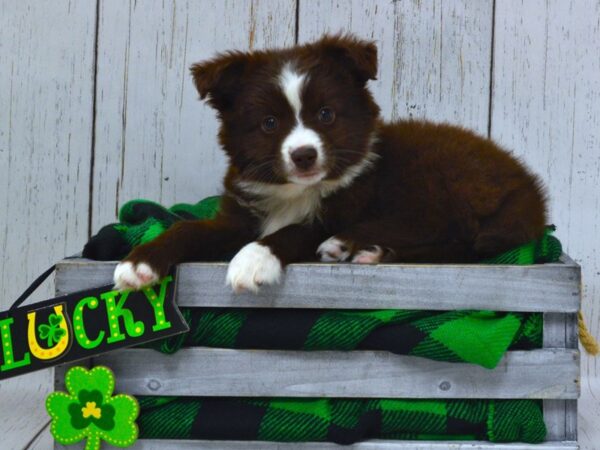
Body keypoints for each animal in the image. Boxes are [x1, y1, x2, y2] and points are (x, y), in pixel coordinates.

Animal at [113, 35, 548, 294]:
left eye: (326, 114)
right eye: (269, 123)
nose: (304, 155)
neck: (296, 192)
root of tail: (529, 192)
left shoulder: (346, 206)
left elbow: (296, 230)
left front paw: (253, 260)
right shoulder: (238, 217)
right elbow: (188, 227)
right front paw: (140, 262)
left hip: (438, 174)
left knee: (450, 230)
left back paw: (350, 245)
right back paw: (374, 251)